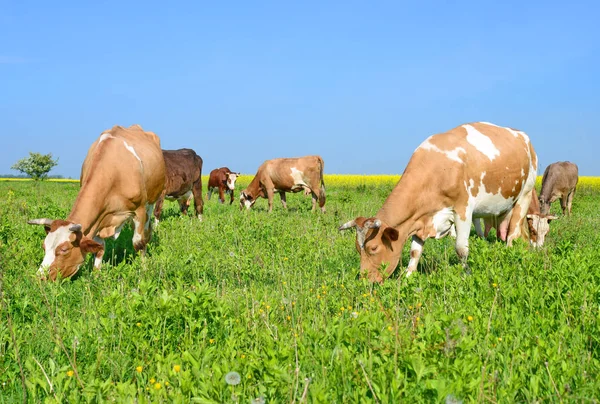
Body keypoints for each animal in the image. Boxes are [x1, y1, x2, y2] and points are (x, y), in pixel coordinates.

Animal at [27, 124, 165, 280]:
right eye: (44, 247)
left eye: (64, 249)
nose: (40, 278)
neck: (114, 173)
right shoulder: (100, 216)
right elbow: (100, 248)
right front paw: (96, 275)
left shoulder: (139, 210)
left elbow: (139, 243)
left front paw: (143, 271)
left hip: (151, 202)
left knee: (146, 231)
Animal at [338, 121, 540, 282]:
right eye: (357, 249)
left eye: (373, 248)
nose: (365, 281)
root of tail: (524, 137)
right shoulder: (420, 218)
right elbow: (415, 251)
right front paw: (408, 277)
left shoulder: (463, 210)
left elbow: (461, 249)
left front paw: (467, 273)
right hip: (503, 206)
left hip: (525, 194)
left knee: (513, 234)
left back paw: (510, 255)